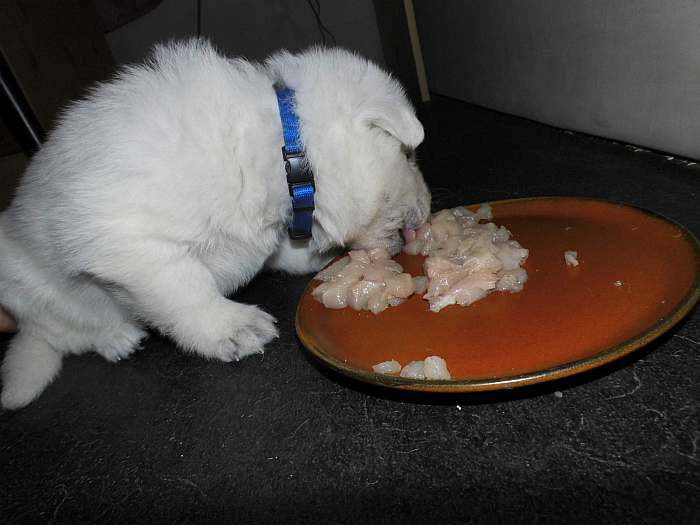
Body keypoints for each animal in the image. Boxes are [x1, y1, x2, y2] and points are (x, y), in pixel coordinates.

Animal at [0, 41, 430, 410]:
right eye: (408, 156)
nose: (427, 212)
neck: (285, 148)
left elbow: (277, 253)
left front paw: (316, 259)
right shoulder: (129, 244)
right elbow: (186, 288)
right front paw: (232, 327)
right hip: (29, 288)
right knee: (68, 330)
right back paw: (116, 338)